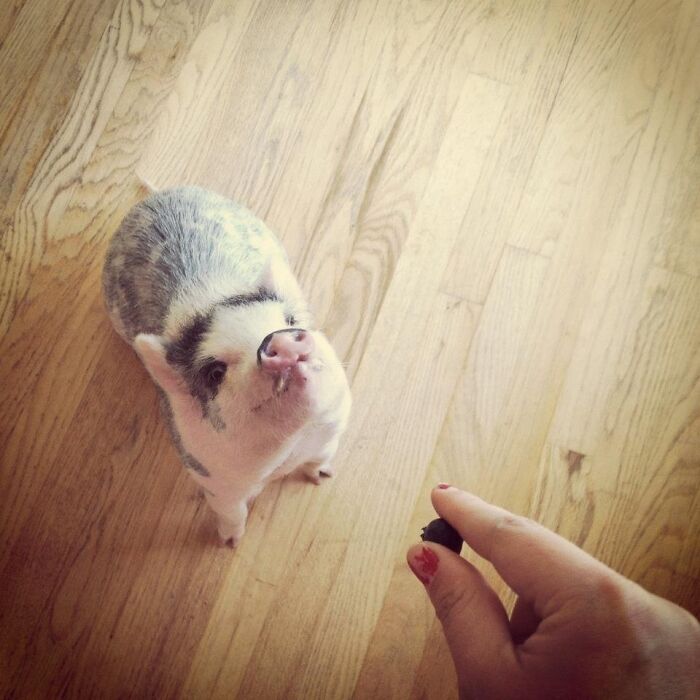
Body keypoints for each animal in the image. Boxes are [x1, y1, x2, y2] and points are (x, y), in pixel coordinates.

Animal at [102, 186, 351, 546]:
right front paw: (229, 544)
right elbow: (231, 511)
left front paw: (322, 478)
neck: (290, 447)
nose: (281, 340)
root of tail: (156, 196)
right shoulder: (213, 478)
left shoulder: (334, 427)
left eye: (290, 320)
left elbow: (322, 457)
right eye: (215, 372)